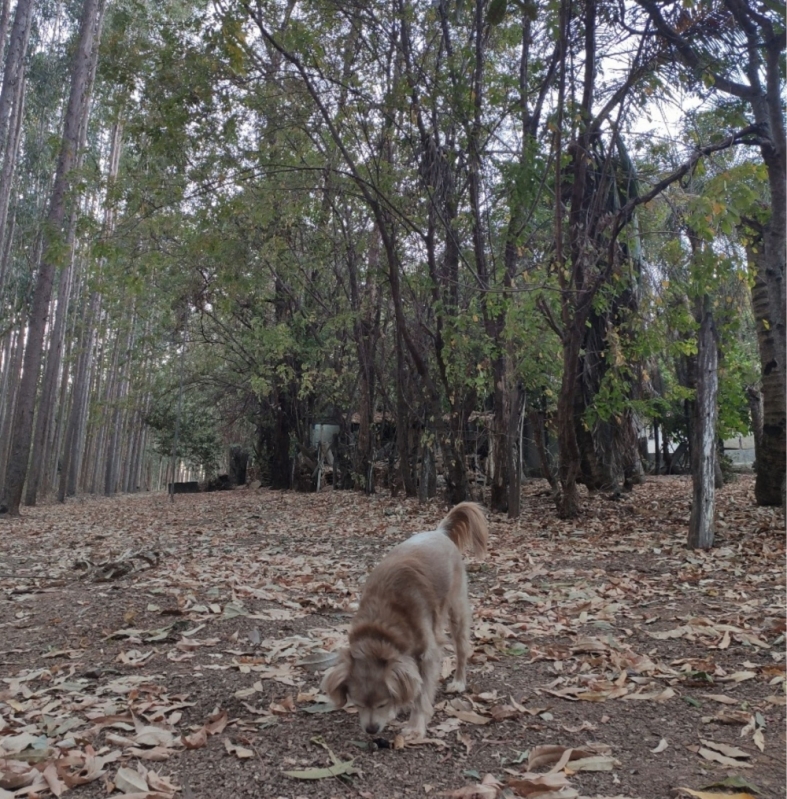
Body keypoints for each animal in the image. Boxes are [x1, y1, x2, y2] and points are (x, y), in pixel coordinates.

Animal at [320, 504, 486, 740]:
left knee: (462, 649)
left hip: (457, 610)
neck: (381, 627)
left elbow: (421, 694)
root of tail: (440, 532)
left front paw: (415, 727)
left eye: (381, 704)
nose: (371, 730)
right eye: (358, 704)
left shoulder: (428, 655)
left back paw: (458, 681)